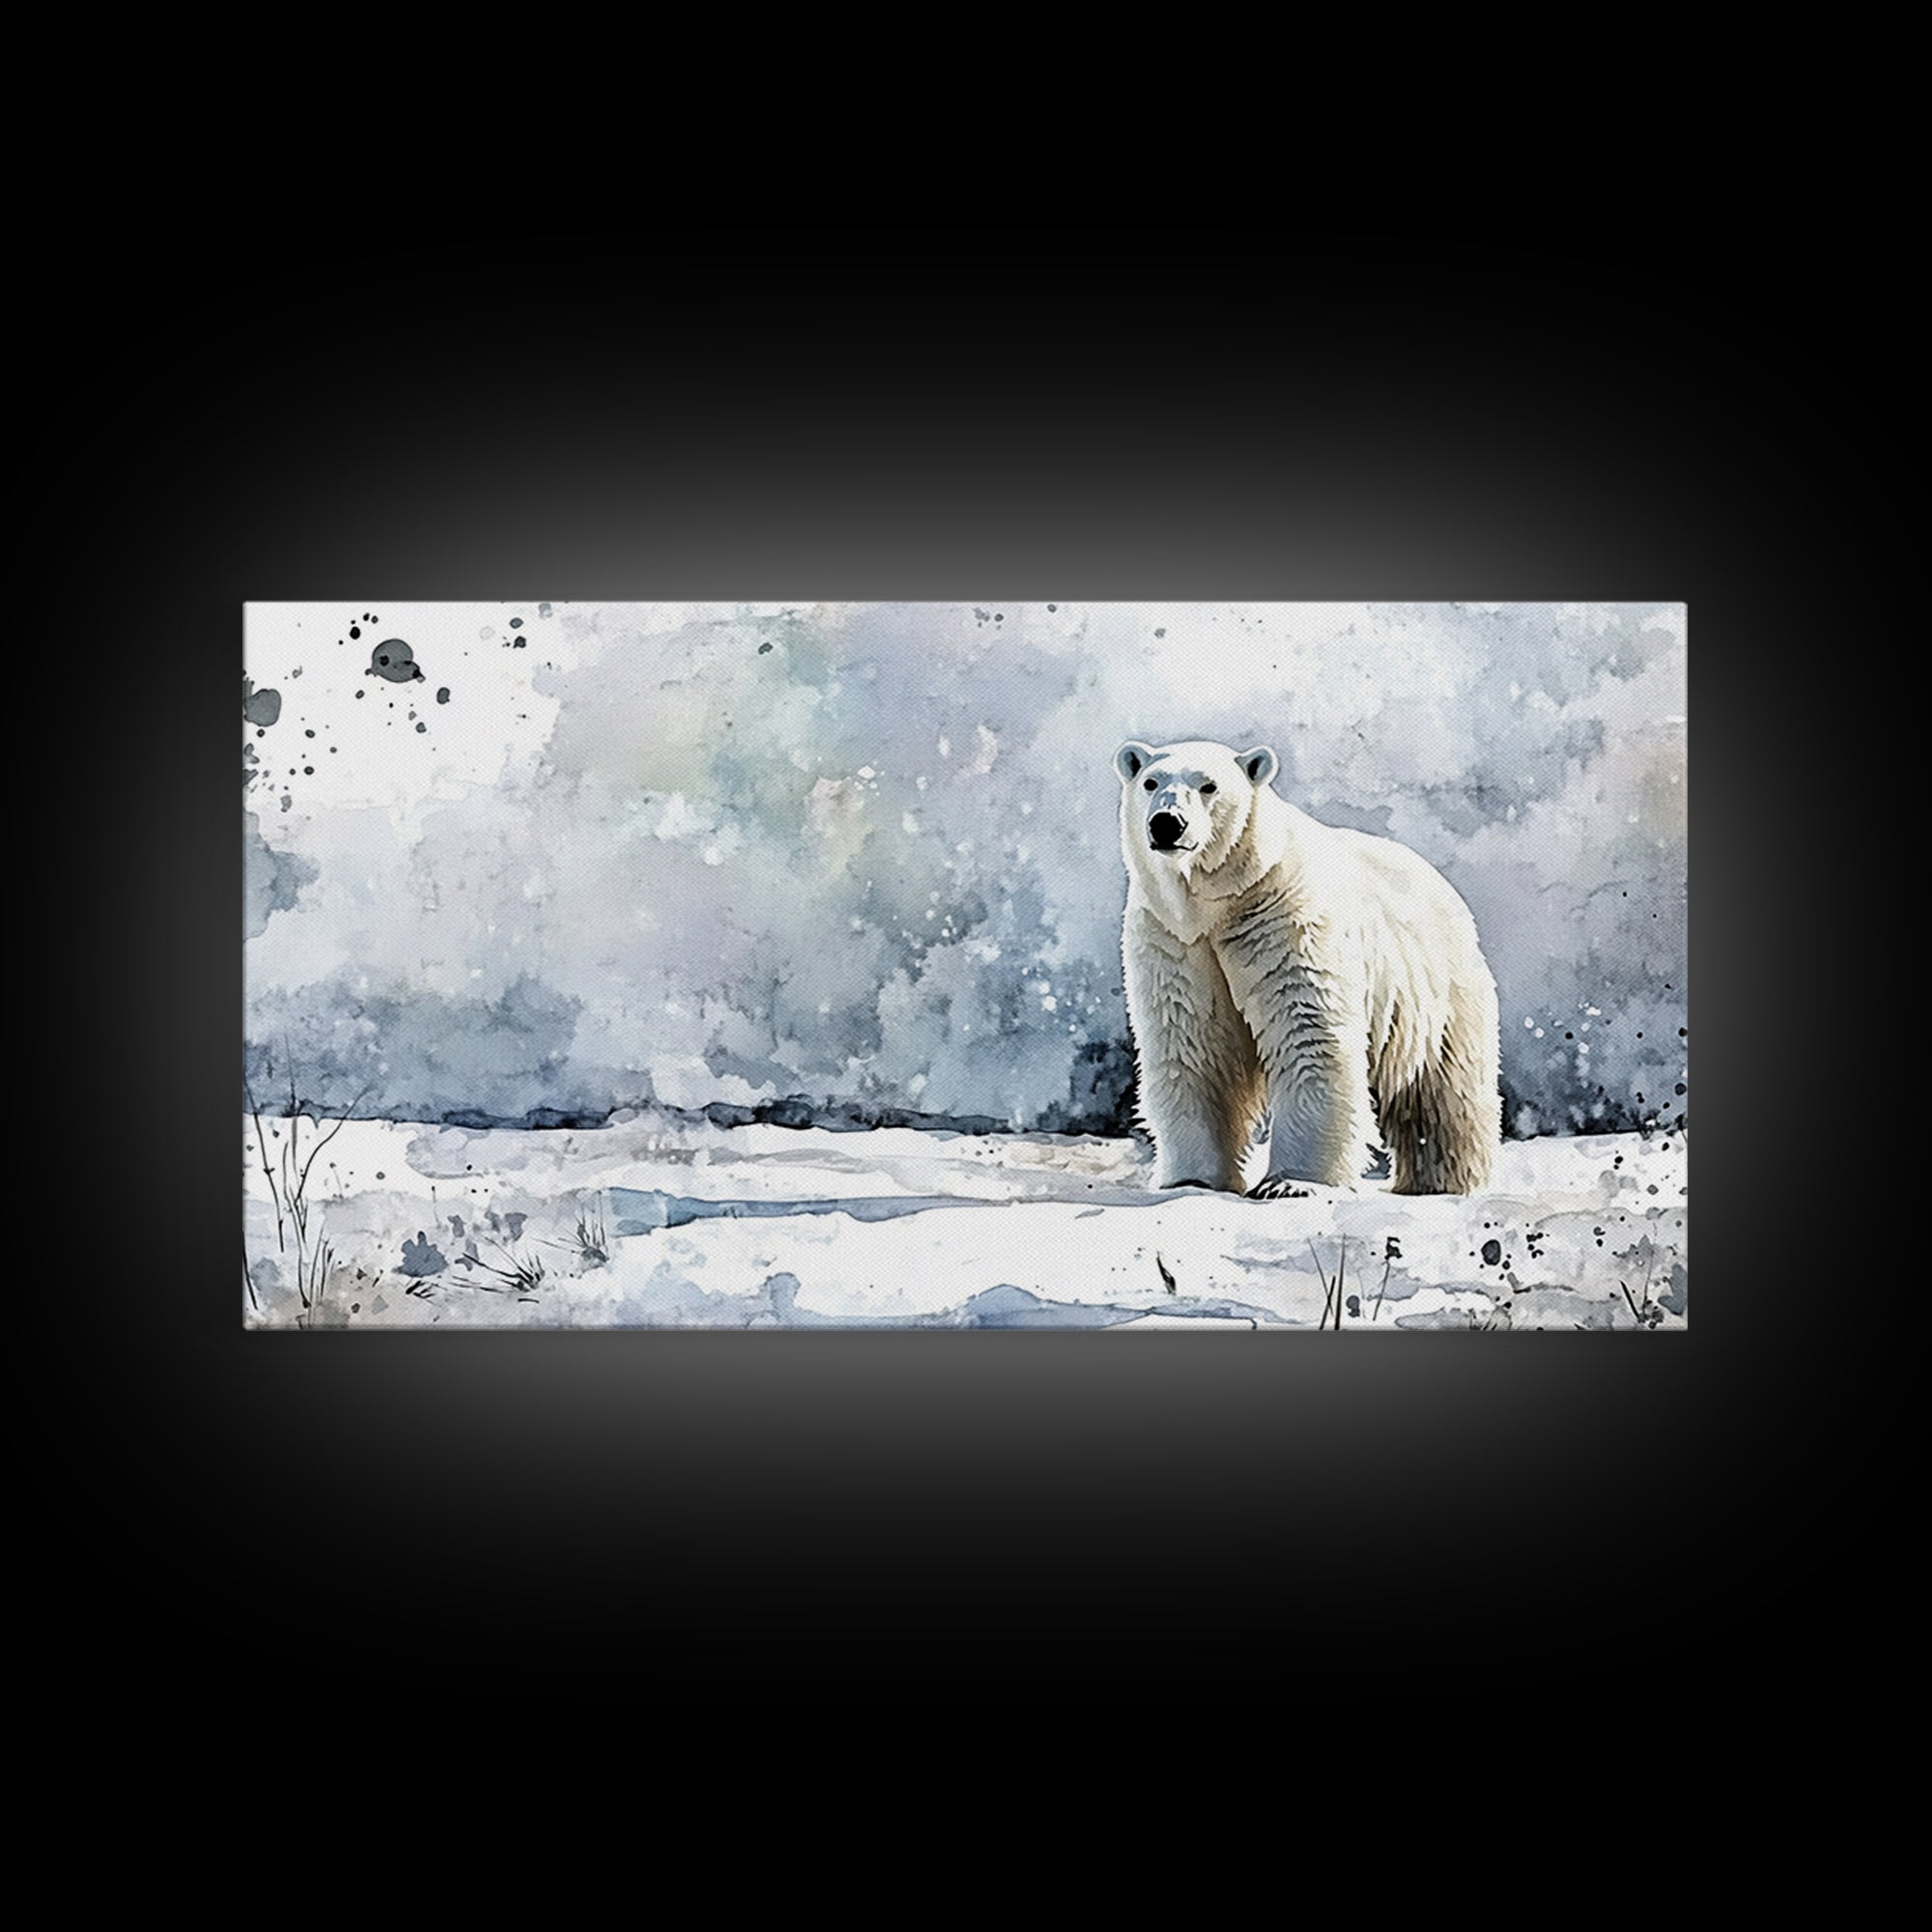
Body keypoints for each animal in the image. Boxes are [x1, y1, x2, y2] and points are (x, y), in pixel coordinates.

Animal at [1114, 739, 1500, 1197]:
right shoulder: (1175, 938)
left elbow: (1308, 1034)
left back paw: (1444, 1181)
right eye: (1151, 782)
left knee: (1441, 1090)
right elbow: (1191, 1042)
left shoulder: (1282, 919)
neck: (1217, 902)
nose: (1167, 824)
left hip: (1435, 985)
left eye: (1209, 786)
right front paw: (1192, 1178)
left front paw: (1292, 1182)